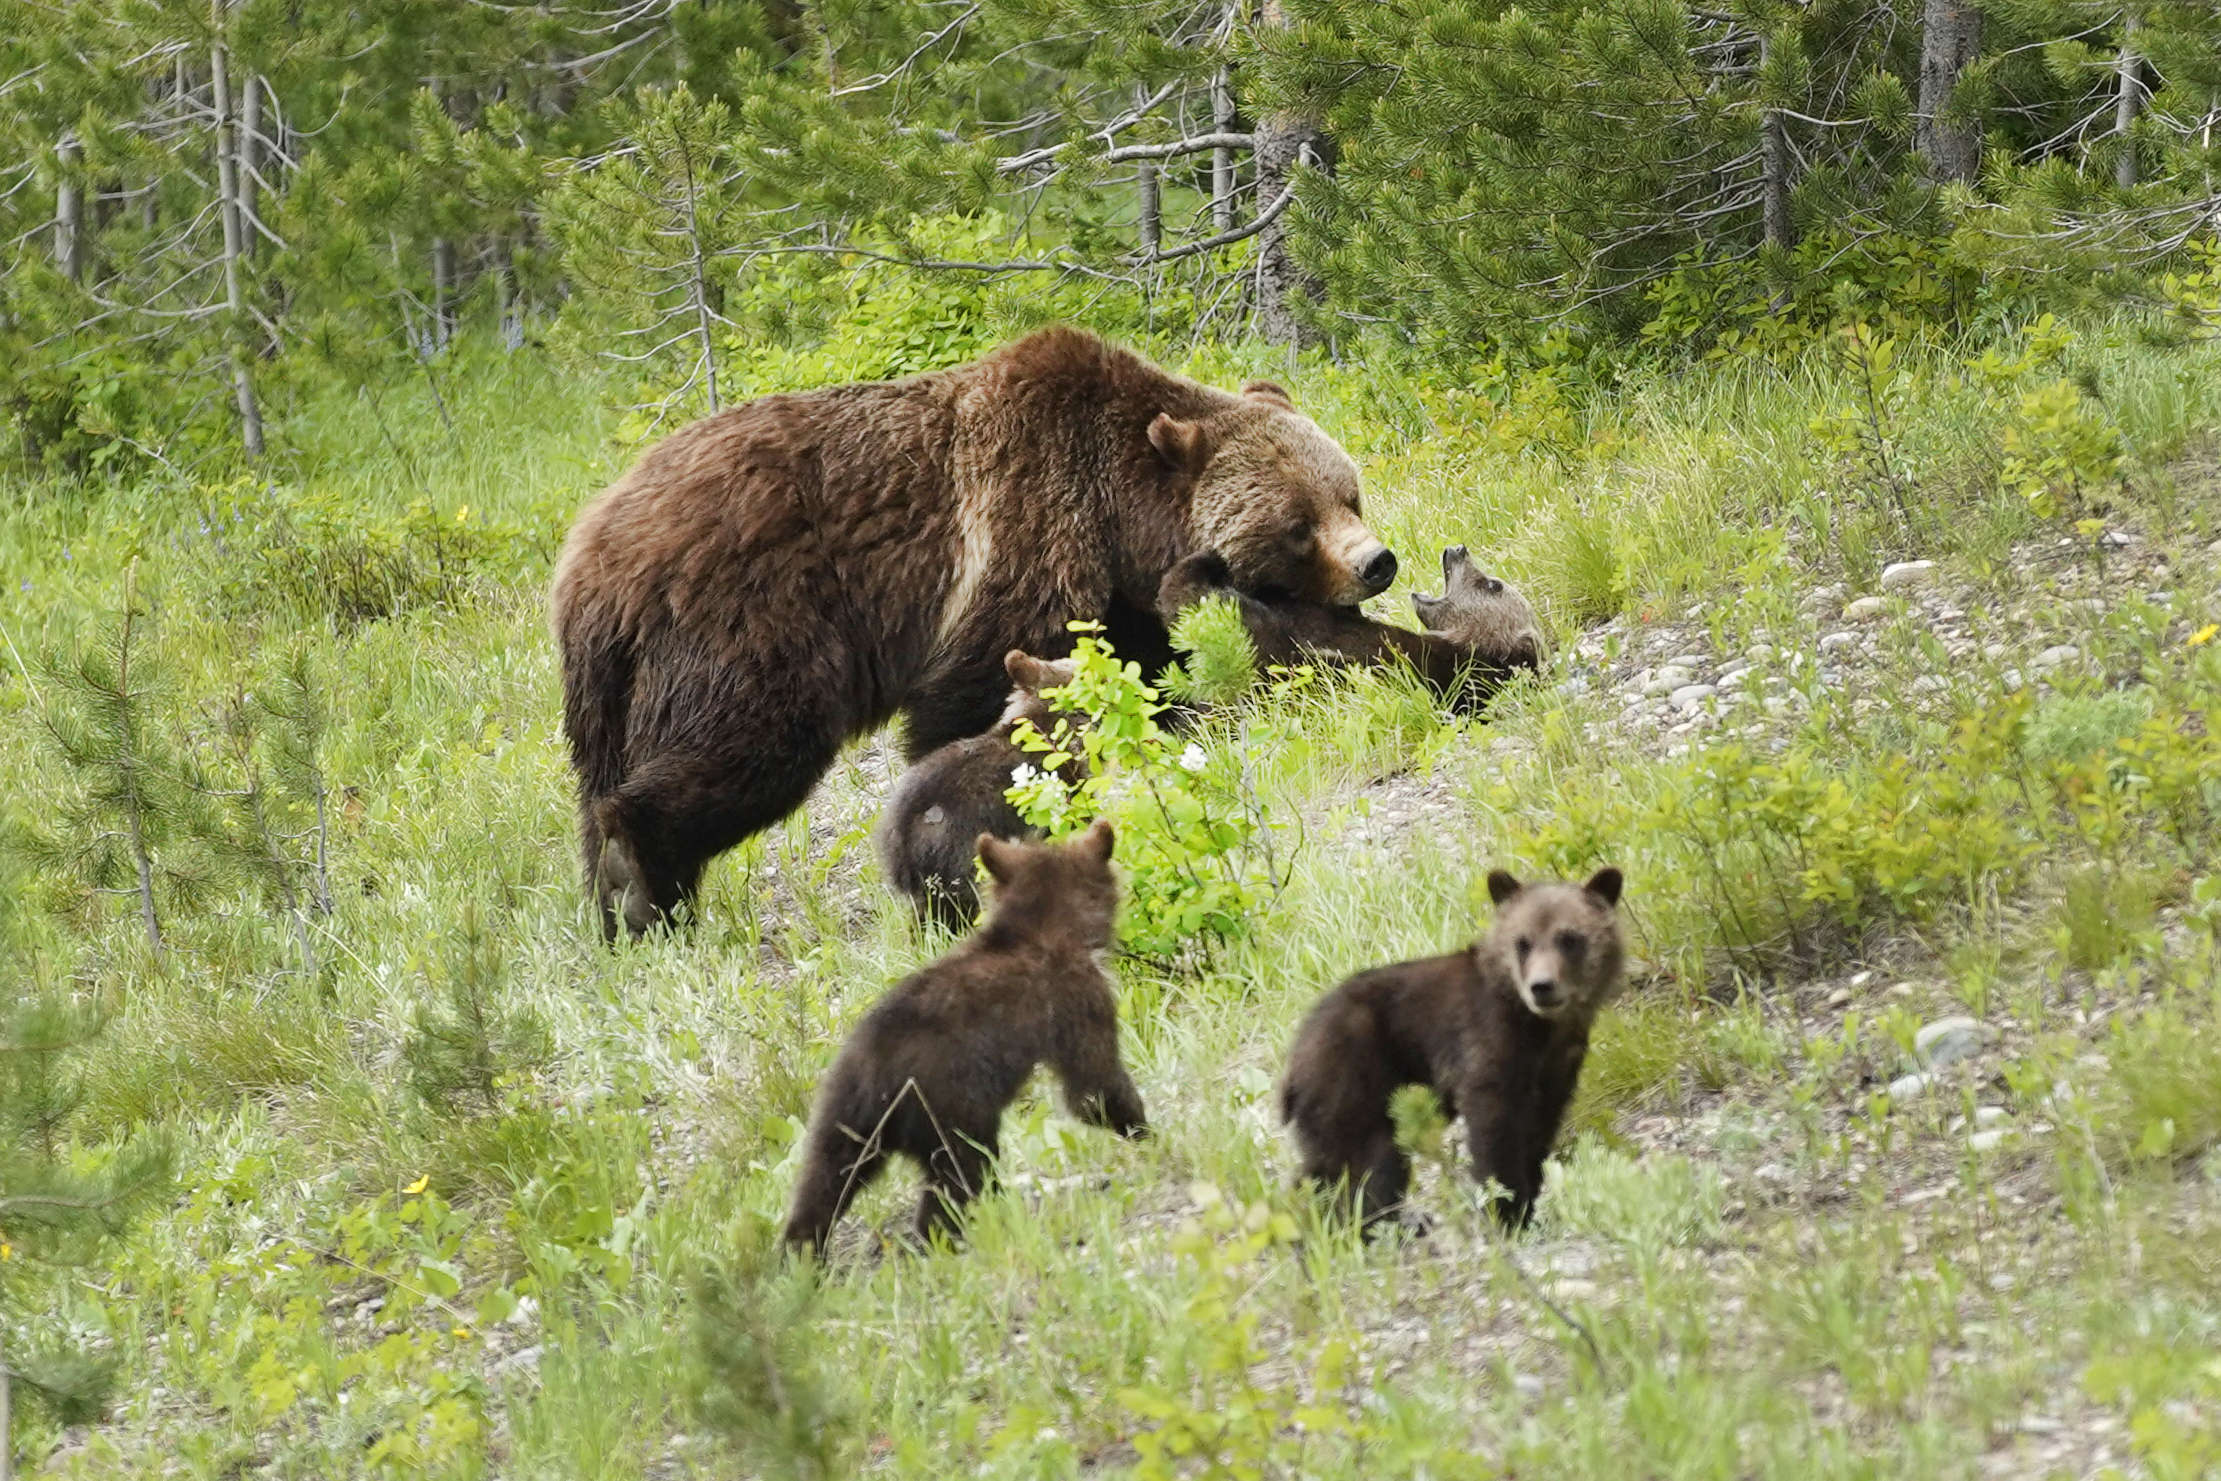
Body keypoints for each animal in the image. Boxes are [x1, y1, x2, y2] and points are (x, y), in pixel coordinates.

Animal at [786, 817, 1146, 1261]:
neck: (1043, 930)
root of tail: (875, 1078)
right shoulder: (1078, 1001)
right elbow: (1094, 1086)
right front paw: (1144, 1130)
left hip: (839, 1115)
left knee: (822, 1182)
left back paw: (802, 1256)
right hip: (950, 1108)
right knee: (959, 1175)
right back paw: (945, 1237)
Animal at [1279, 874, 1625, 1234]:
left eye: (1570, 938)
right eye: (1522, 942)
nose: (1542, 986)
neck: (1541, 1027)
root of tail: (1294, 1056)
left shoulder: (1558, 1065)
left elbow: (1541, 1126)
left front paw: (1529, 1201)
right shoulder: (1485, 1042)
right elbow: (1494, 1127)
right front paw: (1507, 1209)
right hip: (1350, 1080)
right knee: (1369, 1161)